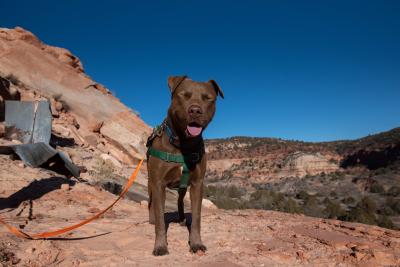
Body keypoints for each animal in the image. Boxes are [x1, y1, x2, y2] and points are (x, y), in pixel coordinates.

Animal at [147, 76, 223, 256]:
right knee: (151, 203)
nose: (195, 110)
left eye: (208, 98)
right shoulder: (158, 183)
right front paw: (160, 246)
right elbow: (160, 218)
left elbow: (196, 217)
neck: (183, 144)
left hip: (182, 187)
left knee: (180, 200)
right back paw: (151, 219)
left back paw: (181, 219)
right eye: (184, 95)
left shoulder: (197, 184)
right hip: (150, 182)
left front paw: (196, 243)